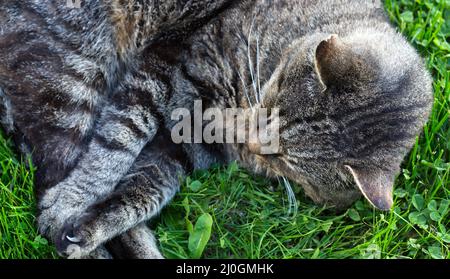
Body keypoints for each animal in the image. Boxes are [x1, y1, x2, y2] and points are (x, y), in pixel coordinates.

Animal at [0, 0, 432, 260]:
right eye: (272, 100)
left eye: (285, 162)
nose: (250, 143)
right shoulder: (171, 59)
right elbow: (119, 140)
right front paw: (74, 203)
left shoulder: (178, 146)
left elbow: (140, 192)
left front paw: (95, 226)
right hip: (73, 73)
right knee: (54, 172)